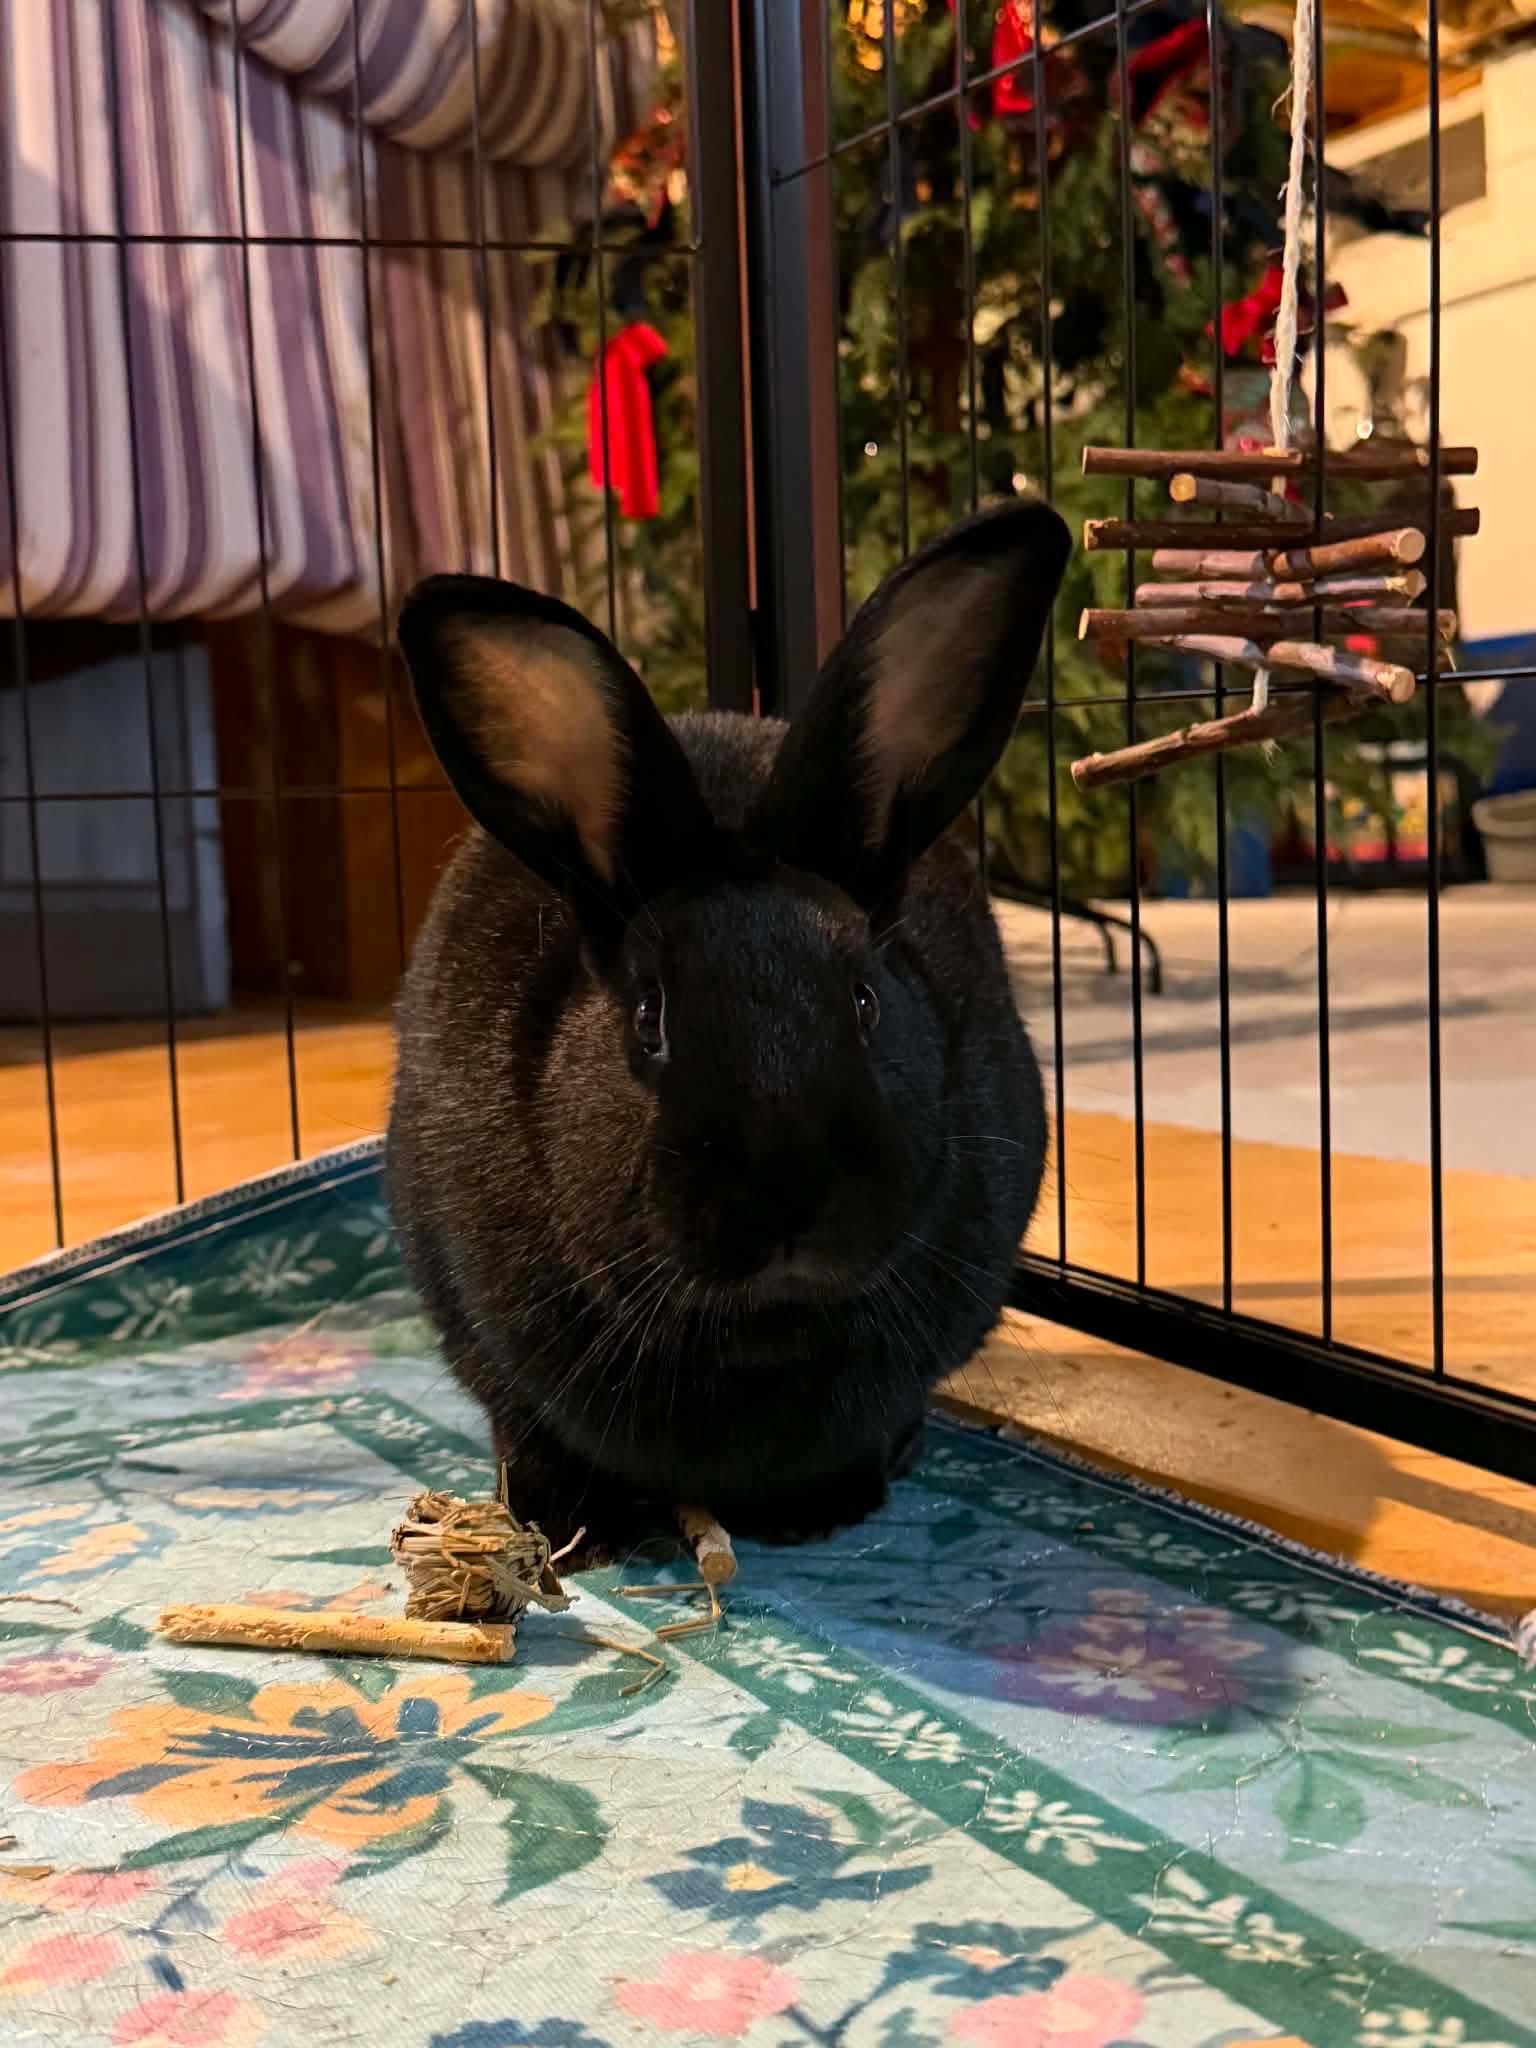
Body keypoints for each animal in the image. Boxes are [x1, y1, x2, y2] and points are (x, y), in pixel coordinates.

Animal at [388, 497, 1071, 1565]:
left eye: (866, 1002)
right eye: (649, 1017)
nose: (786, 1202)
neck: (761, 1332)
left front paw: (826, 1508)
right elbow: (527, 1427)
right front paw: (571, 1526)